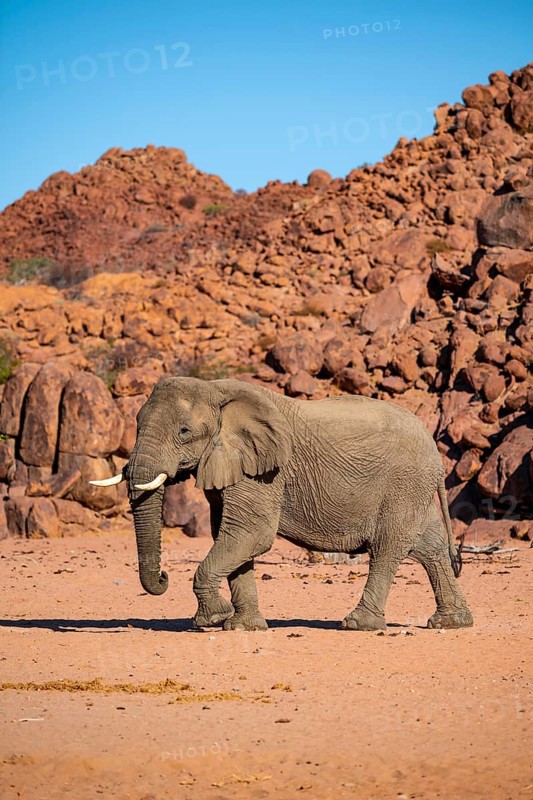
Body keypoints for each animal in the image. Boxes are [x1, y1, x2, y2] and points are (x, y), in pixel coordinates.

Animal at [90, 377, 473, 632]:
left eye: (184, 432)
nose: (163, 577)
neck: (217, 391)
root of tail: (434, 450)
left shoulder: (264, 471)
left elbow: (251, 534)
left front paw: (212, 618)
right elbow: (231, 537)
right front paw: (242, 627)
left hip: (402, 485)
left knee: (388, 547)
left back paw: (358, 624)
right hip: (415, 490)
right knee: (431, 548)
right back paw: (452, 623)